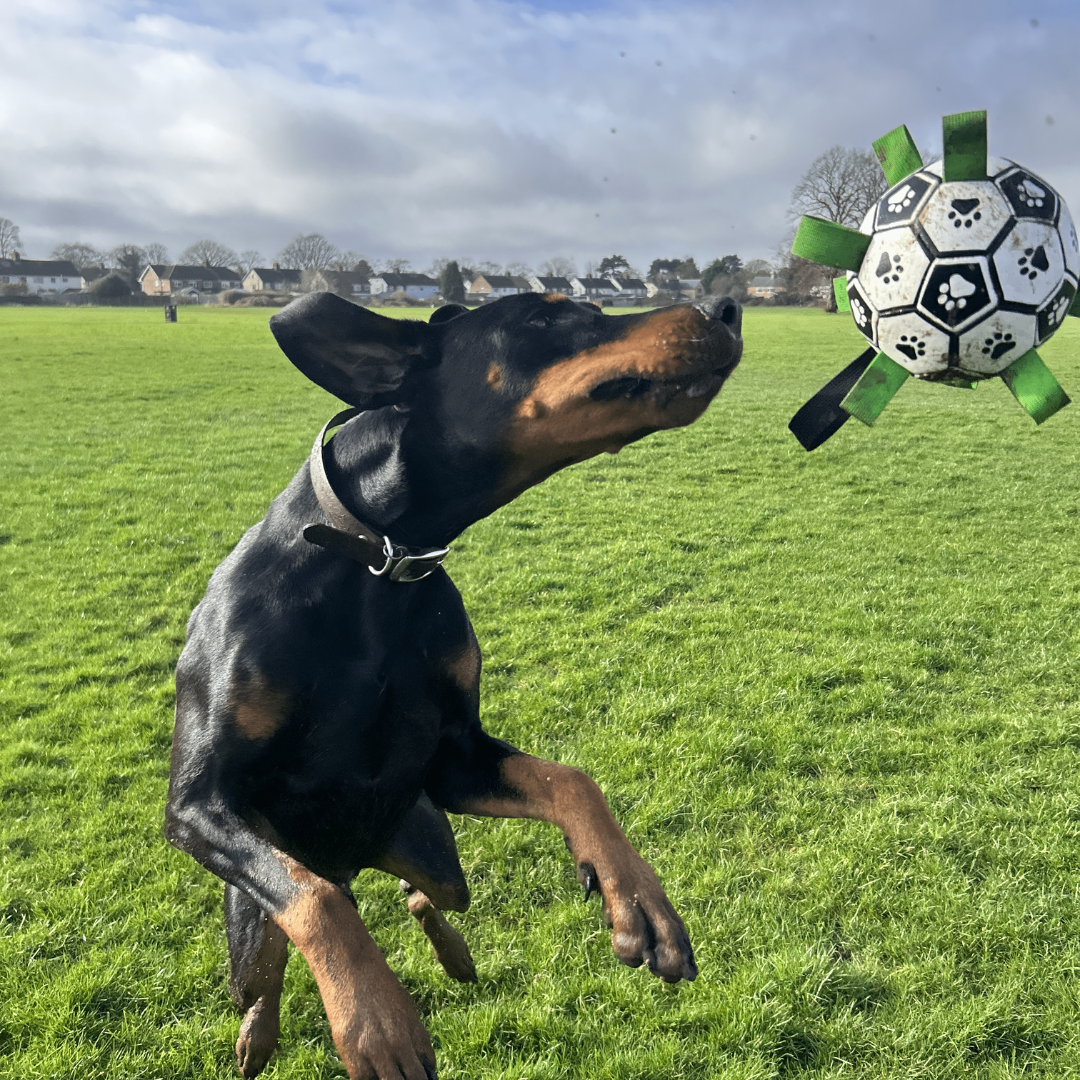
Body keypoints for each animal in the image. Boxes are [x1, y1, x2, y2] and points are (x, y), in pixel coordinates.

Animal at [166, 289, 743, 1080]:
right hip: (246, 916)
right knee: (281, 942)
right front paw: (376, 1022)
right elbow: (313, 902)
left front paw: (638, 904)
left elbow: (574, 780)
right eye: (546, 316)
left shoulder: (452, 760)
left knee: (418, 895)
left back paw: (455, 954)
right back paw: (258, 1030)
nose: (727, 308)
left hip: (432, 844)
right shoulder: (198, 801)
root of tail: (359, 859)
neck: (377, 560)